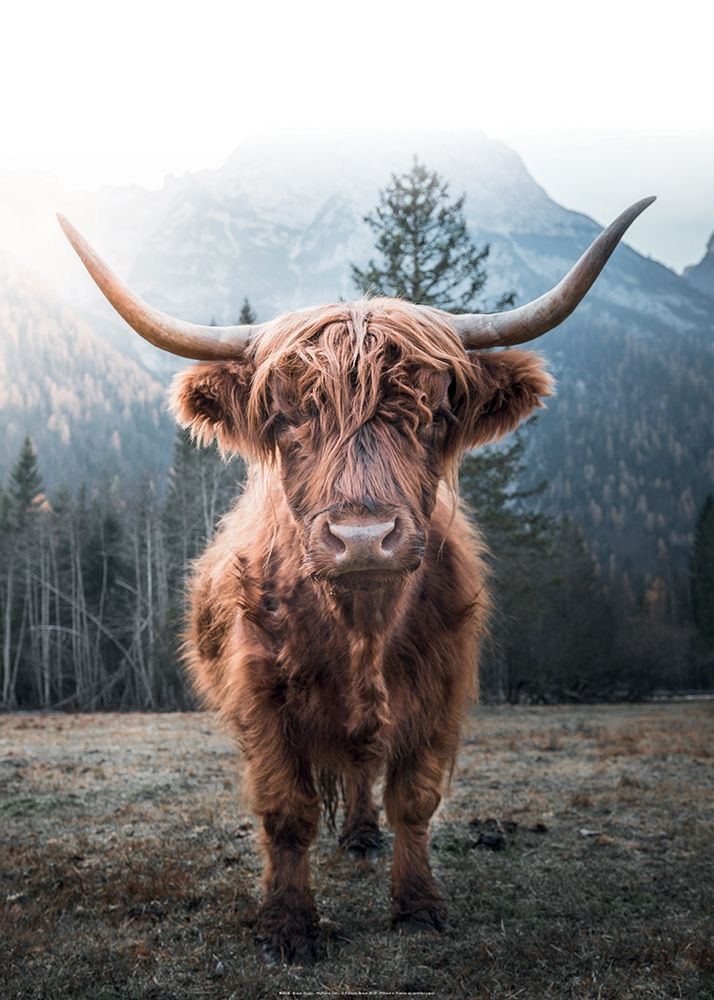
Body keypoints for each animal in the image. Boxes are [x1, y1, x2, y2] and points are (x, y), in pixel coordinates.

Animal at [58, 196, 653, 964]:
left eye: (434, 413)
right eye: (286, 417)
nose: (363, 538)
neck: (362, 628)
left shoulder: (439, 690)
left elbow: (415, 800)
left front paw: (419, 906)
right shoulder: (263, 698)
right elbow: (287, 812)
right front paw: (288, 925)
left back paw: (365, 835)